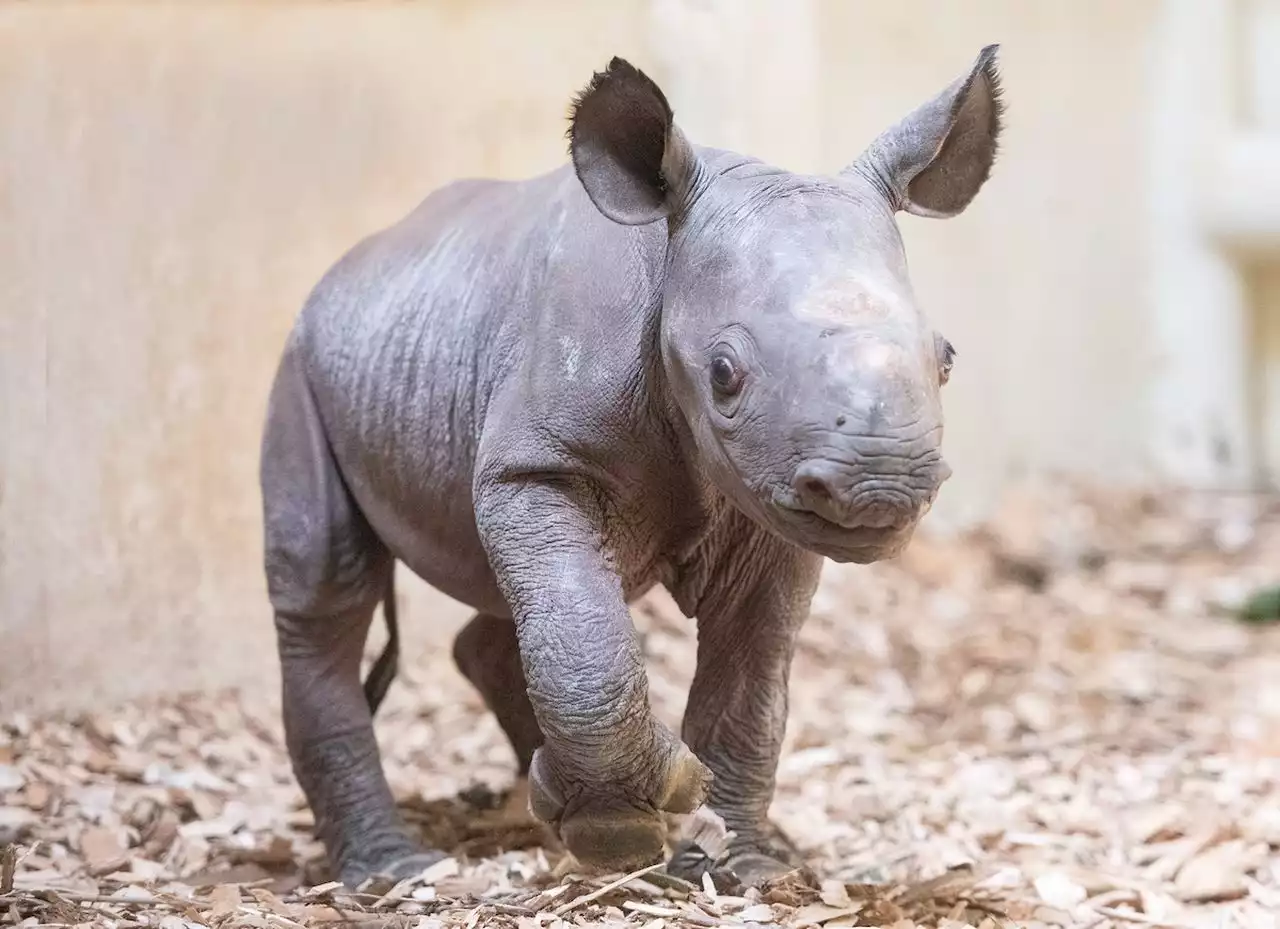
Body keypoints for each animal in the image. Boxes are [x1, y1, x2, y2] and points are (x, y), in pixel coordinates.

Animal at [259, 47, 998, 890]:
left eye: (947, 360)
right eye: (724, 373)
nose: (879, 486)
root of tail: (349, 266)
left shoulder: (771, 499)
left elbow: (750, 678)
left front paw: (730, 867)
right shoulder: (538, 463)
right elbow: (589, 633)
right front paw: (621, 831)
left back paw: (536, 809)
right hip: (303, 362)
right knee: (327, 587)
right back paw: (400, 870)